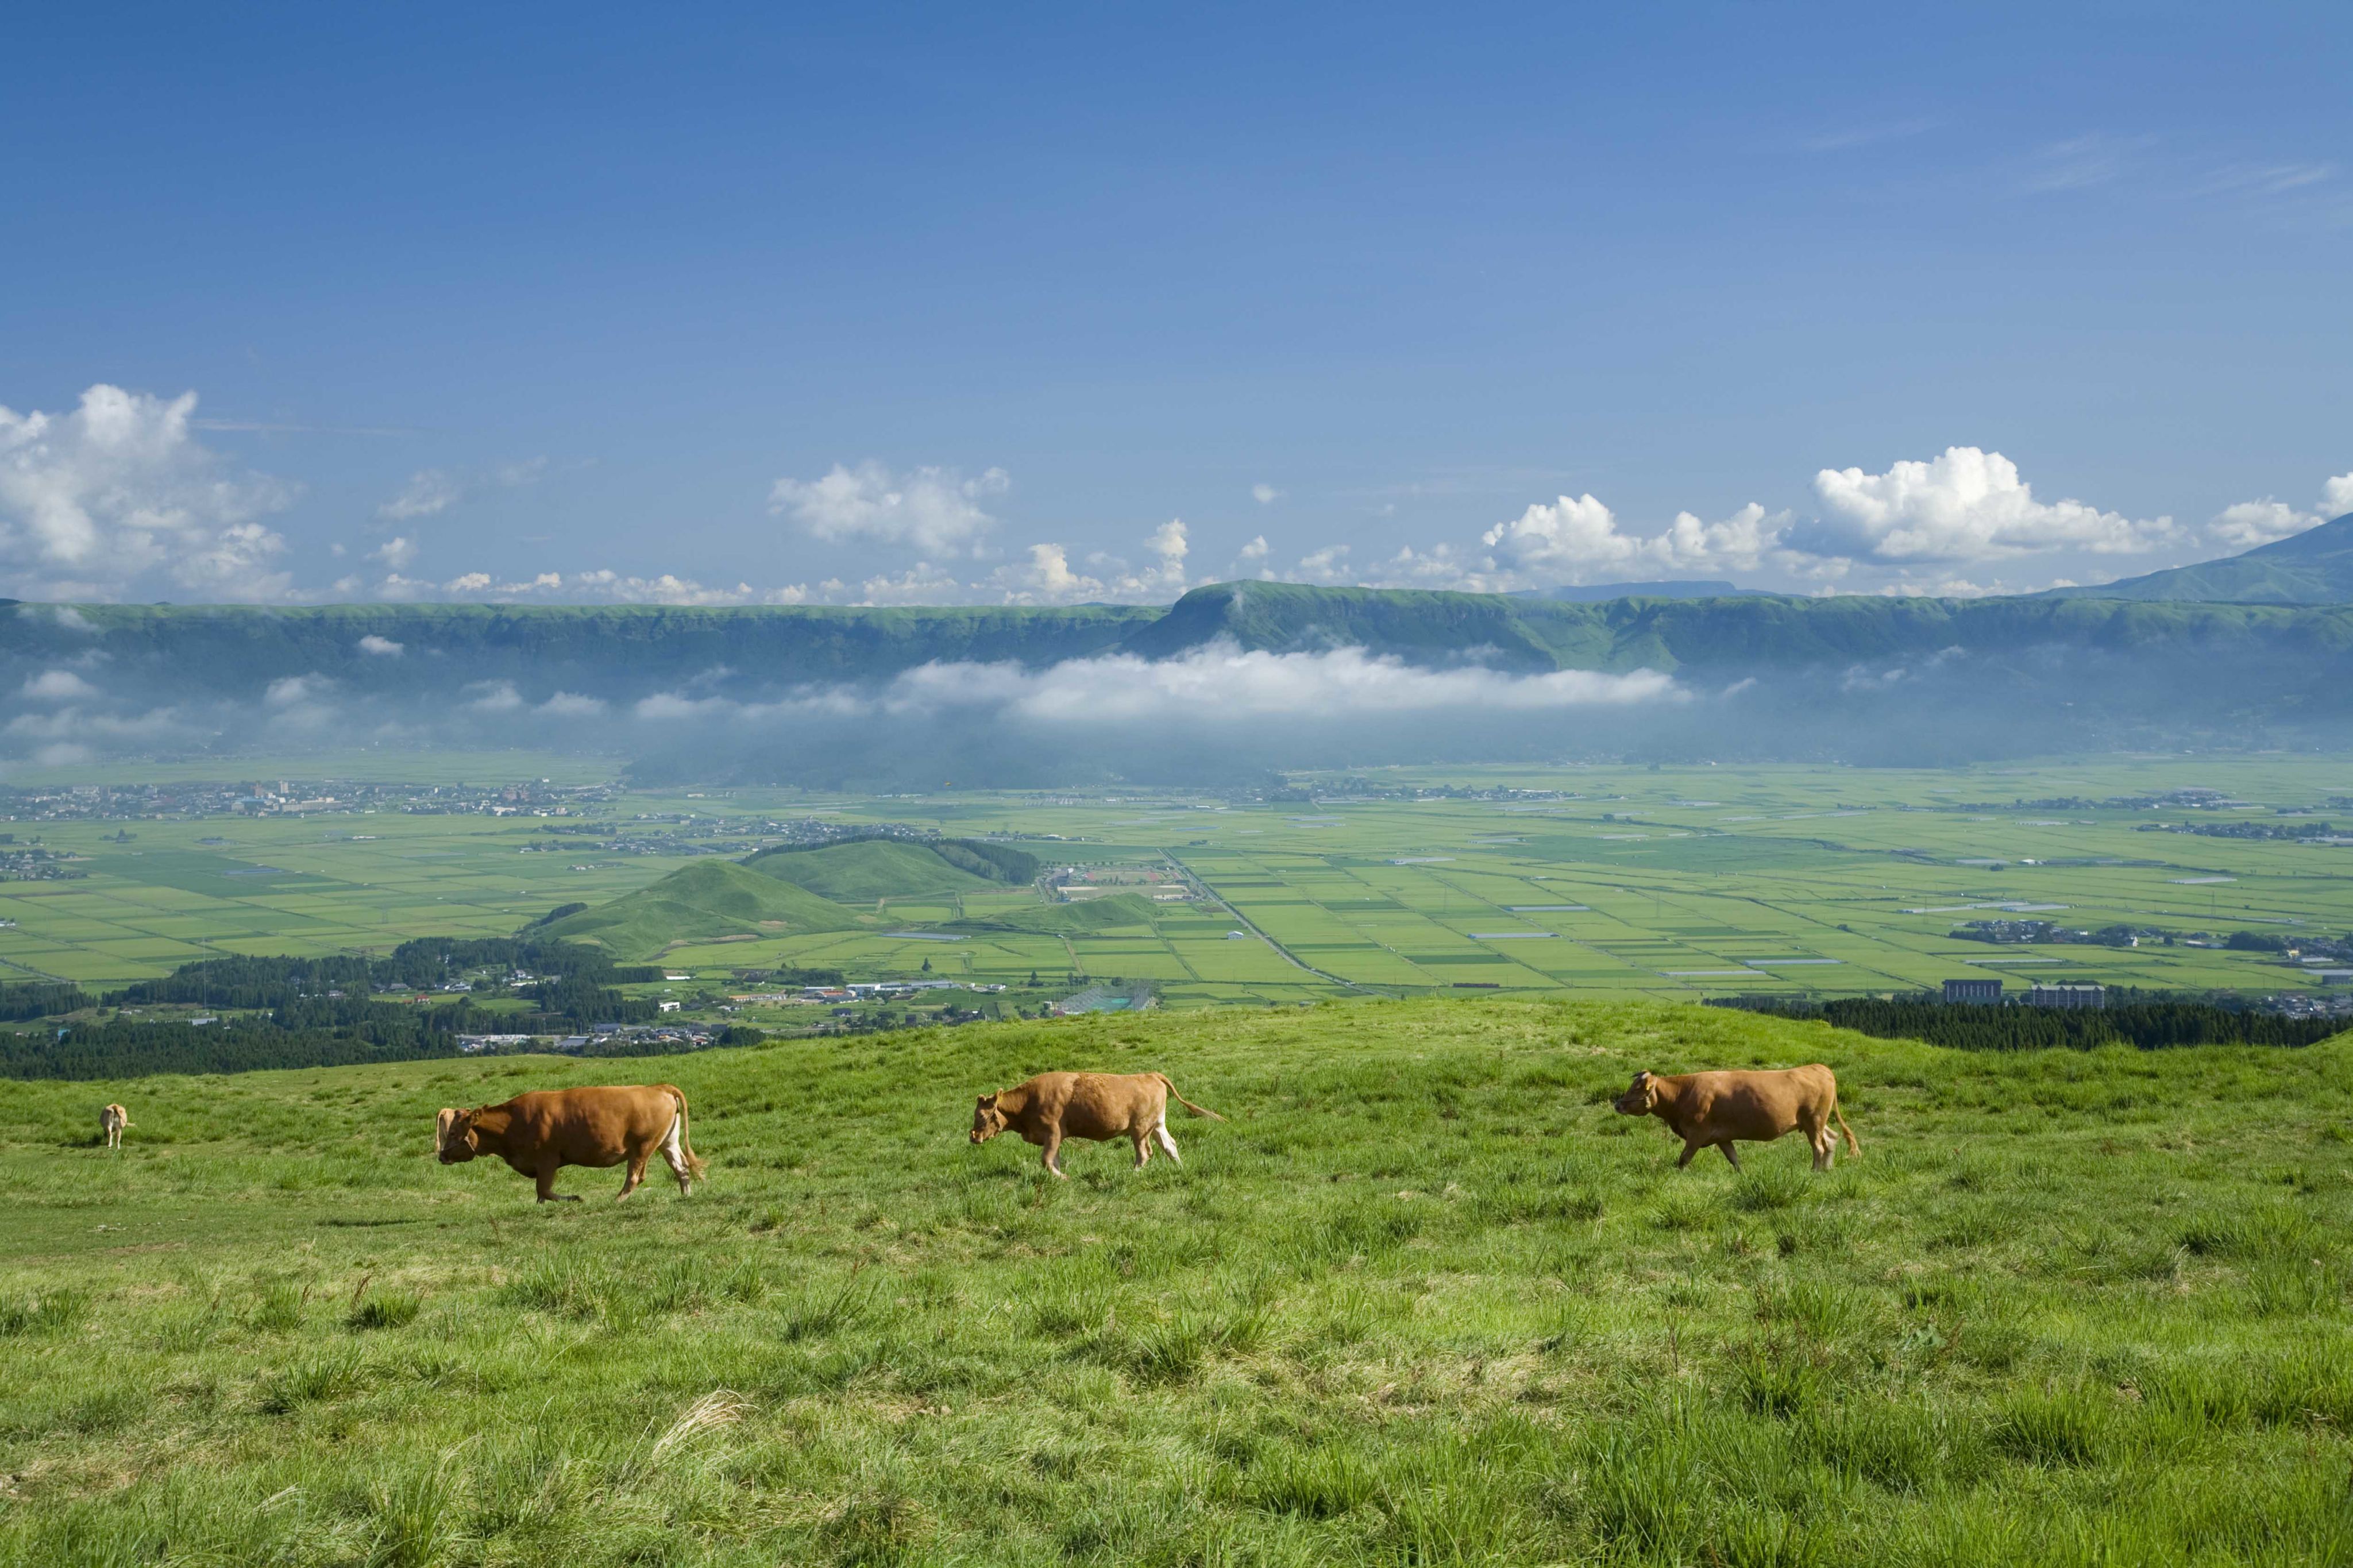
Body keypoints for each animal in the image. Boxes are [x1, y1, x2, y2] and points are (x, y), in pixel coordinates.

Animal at [434, 1084, 705, 1202]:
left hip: (644, 1146)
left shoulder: (547, 1160)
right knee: (681, 1169)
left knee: (635, 1177)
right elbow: (540, 1195)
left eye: (454, 1132)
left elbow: (544, 1190)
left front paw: (575, 1198)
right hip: (667, 1142)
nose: (442, 1156)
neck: (512, 1123)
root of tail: (659, 1087)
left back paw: (616, 1200)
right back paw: (686, 1197)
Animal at [970, 1071, 1223, 1179]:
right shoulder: (1056, 1138)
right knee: (1170, 1146)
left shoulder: (1053, 1133)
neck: (1029, 1101)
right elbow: (1054, 1160)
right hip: (1157, 1125)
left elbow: (1046, 1160)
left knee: (1144, 1153)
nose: (973, 1137)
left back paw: (1132, 1174)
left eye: (982, 1116)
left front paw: (1063, 1178)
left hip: (1140, 1130)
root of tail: (1150, 1075)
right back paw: (1180, 1169)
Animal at [1614, 1065, 1859, 1172]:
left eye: (1636, 1088)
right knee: (1831, 1139)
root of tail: (1819, 1068)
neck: (1683, 1093)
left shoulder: (1696, 1134)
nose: (1618, 1104)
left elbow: (1683, 1160)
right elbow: (1735, 1160)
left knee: (1818, 1147)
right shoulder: (1722, 1138)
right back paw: (1827, 1170)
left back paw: (1815, 1171)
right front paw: (1742, 1175)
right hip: (1817, 1122)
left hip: (1813, 1121)